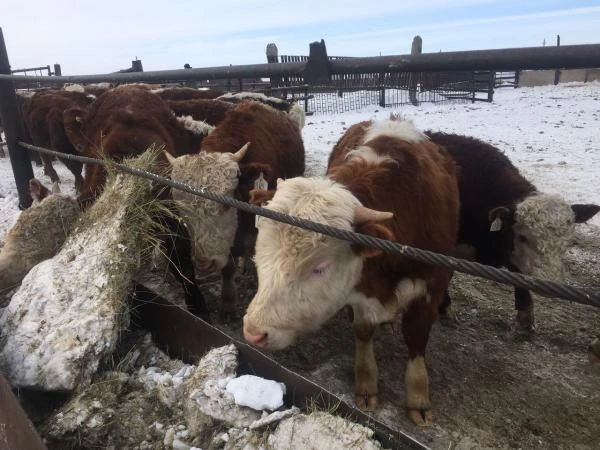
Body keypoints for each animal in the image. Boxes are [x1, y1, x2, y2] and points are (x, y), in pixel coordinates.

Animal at [241, 117, 458, 426]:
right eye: (260, 254)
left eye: (319, 267)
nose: (254, 333)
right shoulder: (359, 294)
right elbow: (363, 330)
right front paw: (366, 383)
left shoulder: (431, 284)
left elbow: (417, 336)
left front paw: (418, 398)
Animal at [426, 132, 600, 328]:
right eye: (523, 237)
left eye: (567, 241)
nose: (549, 280)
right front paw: (445, 308)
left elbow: (518, 272)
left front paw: (526, 313)